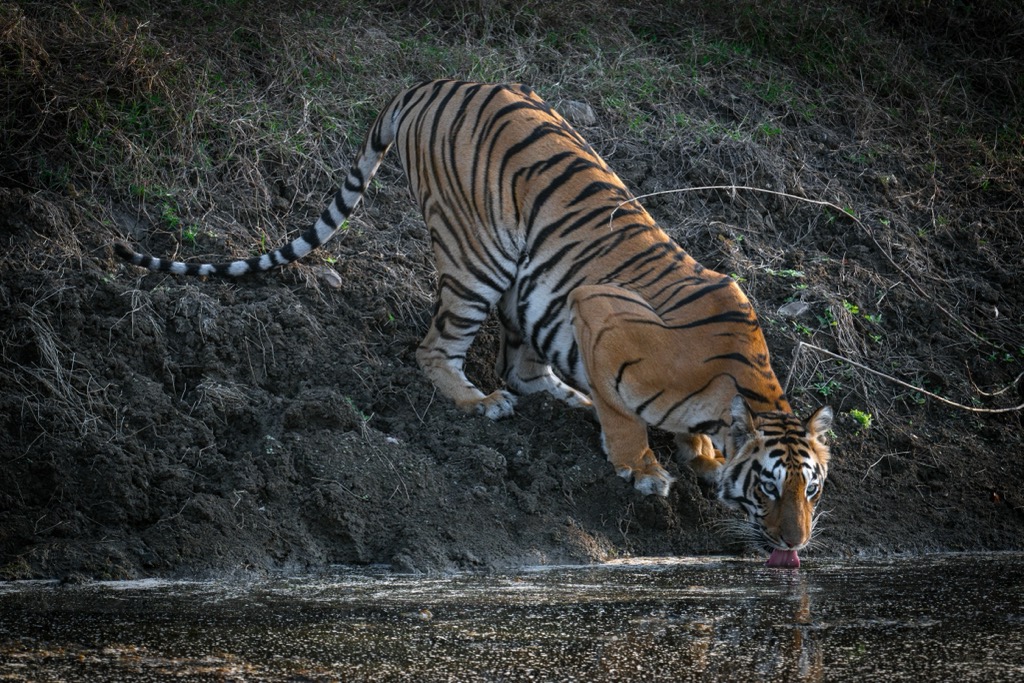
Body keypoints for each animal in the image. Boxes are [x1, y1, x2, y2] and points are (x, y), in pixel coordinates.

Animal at [115, 79, 834, 563]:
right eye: (769, 487)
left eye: (813, 490)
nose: (796, 542)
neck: (739, 393)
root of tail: (434, 82)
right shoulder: (601, 314)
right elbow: (626, 417)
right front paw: (645, 468)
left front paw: (701, 455)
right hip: (476, 258)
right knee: (436, 350)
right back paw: (478, 401)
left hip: (525, 278)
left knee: (524, 365)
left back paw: (561, 395)